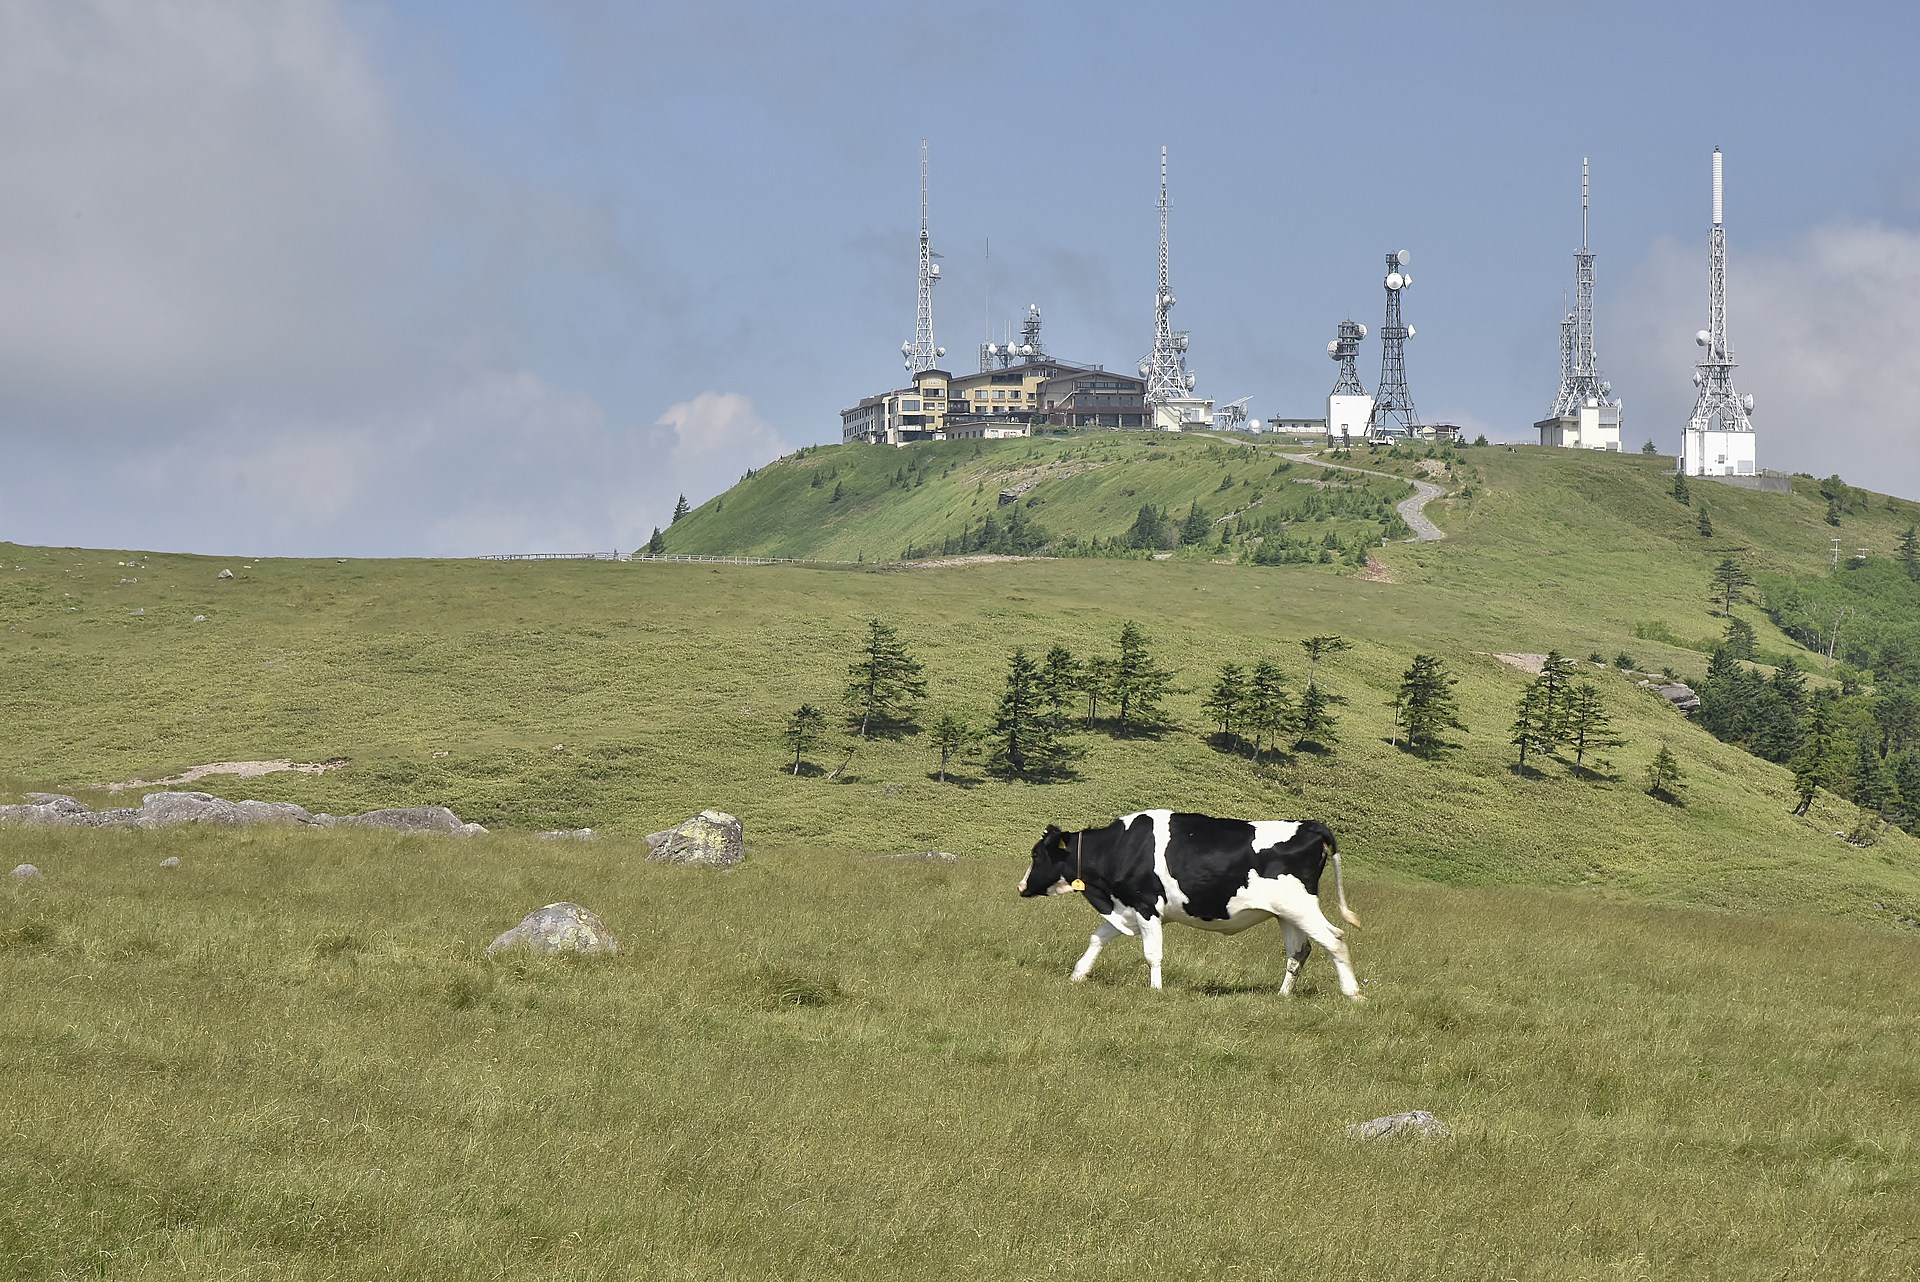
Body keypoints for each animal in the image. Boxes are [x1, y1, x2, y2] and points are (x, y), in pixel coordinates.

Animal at [1021, 809, 1367, 997]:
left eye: (1036, 854)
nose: (1021, 886)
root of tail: (1309, 824)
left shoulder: (1147, 905)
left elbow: (1152, 954)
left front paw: (1155, 990)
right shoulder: (1125, 907)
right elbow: (1097, 938)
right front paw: (1078, 975)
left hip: (1301, 906)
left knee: (1335, 940)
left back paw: (1353, 994)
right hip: (1287, 913)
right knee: (1298, 952)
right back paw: (1281, 997)